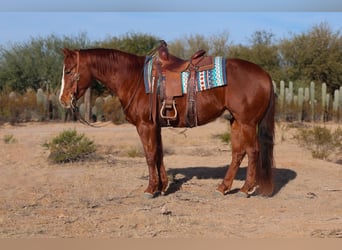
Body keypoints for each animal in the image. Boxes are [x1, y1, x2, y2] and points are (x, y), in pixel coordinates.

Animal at [59, 44, 276, 197]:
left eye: (68, 71)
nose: (63, 100)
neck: (133, 78)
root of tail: (265, 74)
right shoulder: (156, 126)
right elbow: (159, 154)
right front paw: (163, 187)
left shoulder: (145, 125)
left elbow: (149, 155)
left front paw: (150, 189)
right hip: (236, 122)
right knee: (238, 153)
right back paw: (223, 187)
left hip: (247, 123)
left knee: (253, 151)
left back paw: (245, 189)